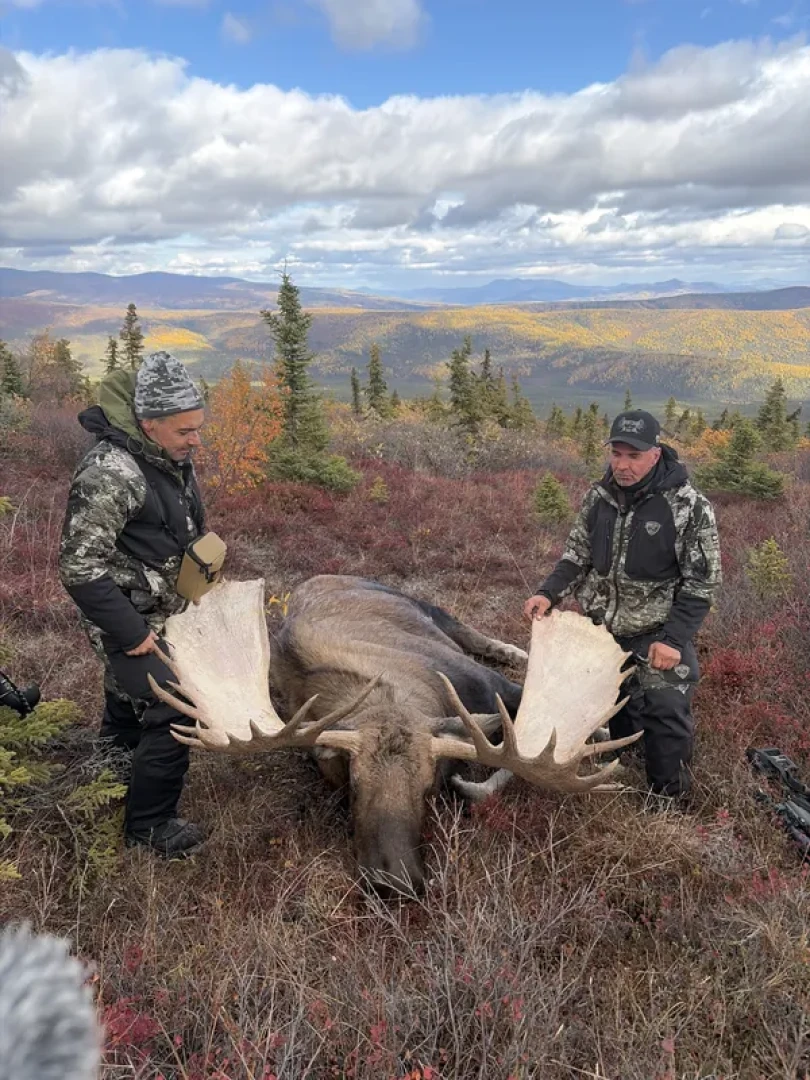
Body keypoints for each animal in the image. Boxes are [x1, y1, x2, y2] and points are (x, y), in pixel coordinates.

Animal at [151, 575, 639, 896]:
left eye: (429, 788)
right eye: (351, 784)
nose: (395, 882)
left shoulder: (490, 684)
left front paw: (605, 729)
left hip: (425, 607)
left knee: (476, 634)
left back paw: (519, 650)